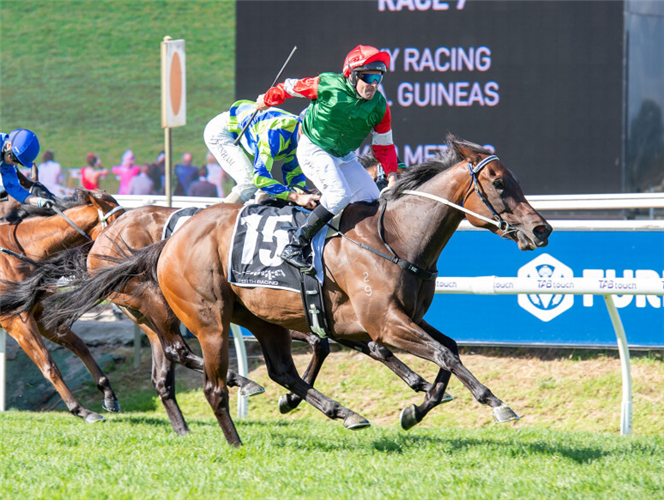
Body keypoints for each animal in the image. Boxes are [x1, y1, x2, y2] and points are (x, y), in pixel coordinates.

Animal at [0, 189, 125, 424]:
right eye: (117, 222)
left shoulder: (39, 316)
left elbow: (79, 345)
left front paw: (109, 395)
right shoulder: (16, 321)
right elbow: (48, 364)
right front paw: (81, 410)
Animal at [41, 134, 552, 446]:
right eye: (499, 184)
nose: (541, 229)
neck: (394, 237)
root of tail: (167, 241)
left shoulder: (396, 318)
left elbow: (449, 349)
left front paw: (420, 404)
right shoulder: (382, 322)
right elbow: (438, 354)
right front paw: (494, 403)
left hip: (255, 318)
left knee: (257, 371)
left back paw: (334, 411)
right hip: (192, 316)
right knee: (199, 371)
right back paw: (237, 428)